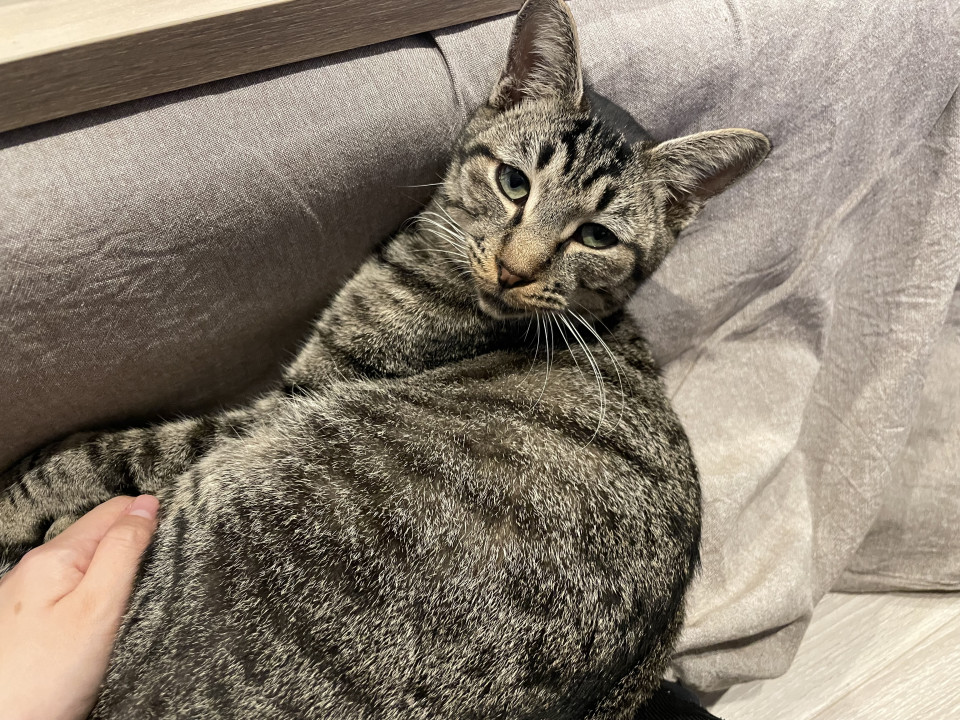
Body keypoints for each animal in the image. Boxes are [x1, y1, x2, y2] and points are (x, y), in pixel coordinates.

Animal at [0, 0, 769, 717]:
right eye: (514, 184)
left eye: (597, 236)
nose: (515, 270)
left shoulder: (293, 397)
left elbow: (103, 452)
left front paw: (20, 495)